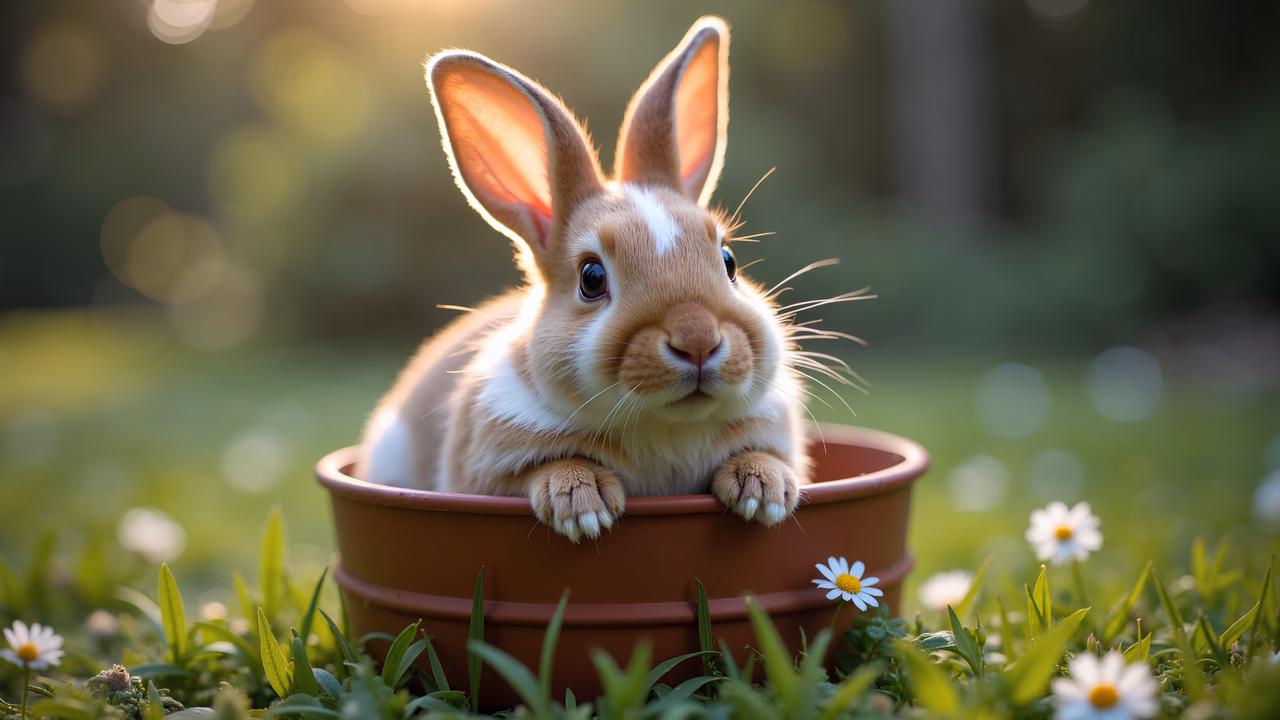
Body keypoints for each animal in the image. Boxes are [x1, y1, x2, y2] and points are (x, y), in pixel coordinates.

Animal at [358, 16, 825, 542]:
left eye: (729, 261)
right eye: (592, 277)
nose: (698, 340)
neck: (665, 430)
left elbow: (761, 454)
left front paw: (765, 493)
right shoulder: (489, 469)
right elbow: (548, 469)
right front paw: (583, 508)